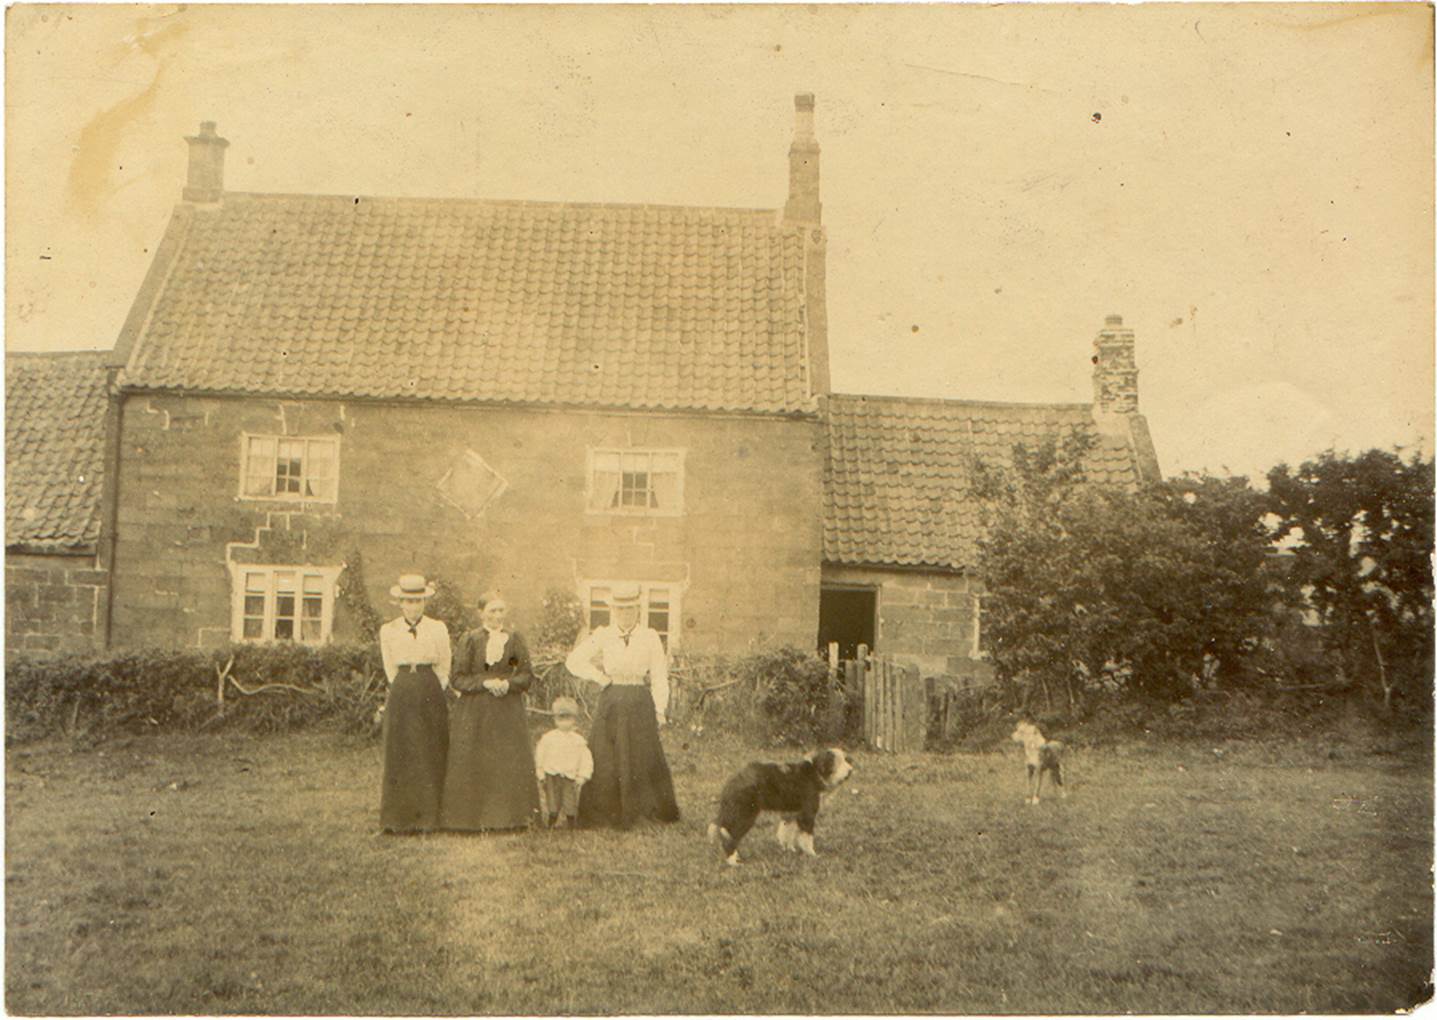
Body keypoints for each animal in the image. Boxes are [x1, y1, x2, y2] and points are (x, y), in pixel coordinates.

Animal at [707, 747, 850, 867]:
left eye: (846, 759)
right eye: (838, 762)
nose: (850, 770)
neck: (815, 773)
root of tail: (733, 781)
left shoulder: (791, 814)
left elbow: (787, 833)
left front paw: (790, 850)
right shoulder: (807, 814)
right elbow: (807, 838)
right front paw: (812, 854)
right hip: (744, 816)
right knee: (729, 838)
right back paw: (732, 861)